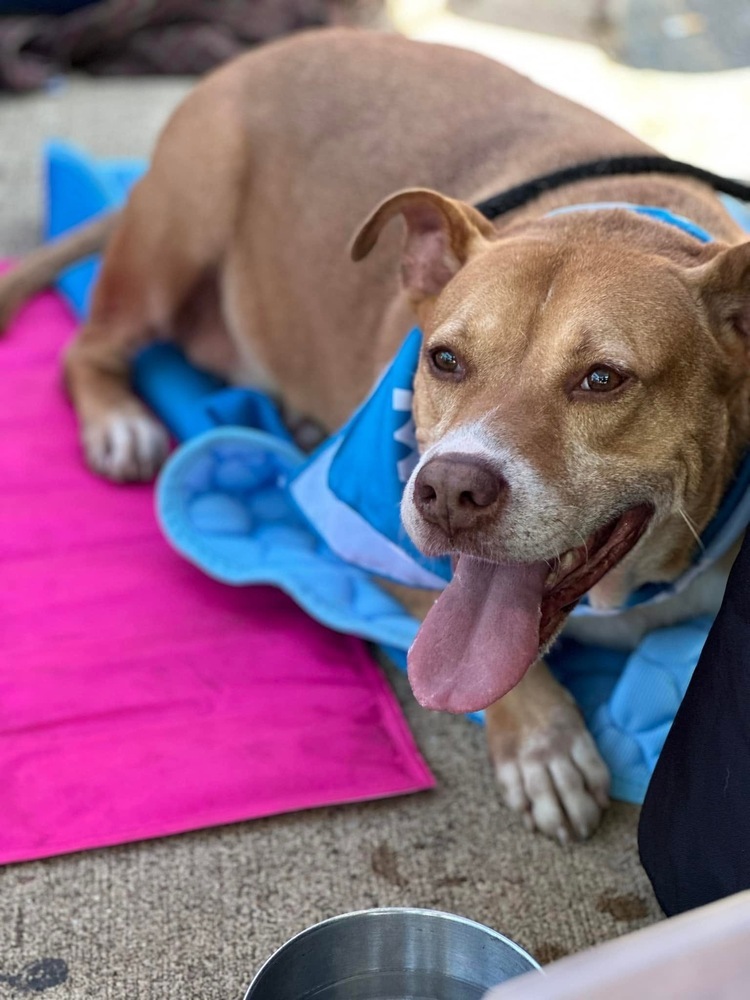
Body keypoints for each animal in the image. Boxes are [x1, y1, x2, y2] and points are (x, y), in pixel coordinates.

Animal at [2, 27, 748, 840]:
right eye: (444, 359)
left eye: (603, 378)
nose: (449, 490)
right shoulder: (361, 528)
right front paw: (543, 744)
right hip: (179, 230)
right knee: (89, 346)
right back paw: (122, 423)